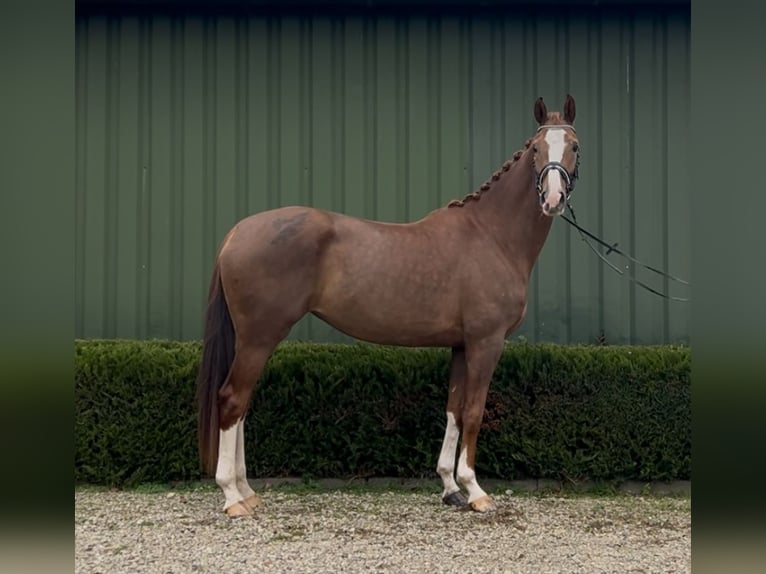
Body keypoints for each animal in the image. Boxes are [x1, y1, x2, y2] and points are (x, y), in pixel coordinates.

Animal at [198, 94, 584, 516]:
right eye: (536, 149)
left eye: (574, 147)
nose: (553, 199)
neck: (491, 235)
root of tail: (238, 231)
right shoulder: (486, 343)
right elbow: (474, 412)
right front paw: (475, 491)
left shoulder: (460, 346)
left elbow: (453, 410)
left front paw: (450, 487)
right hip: (259, 336)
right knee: (232, 400)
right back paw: (233, 496)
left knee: (241, 405)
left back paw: (247, 490)